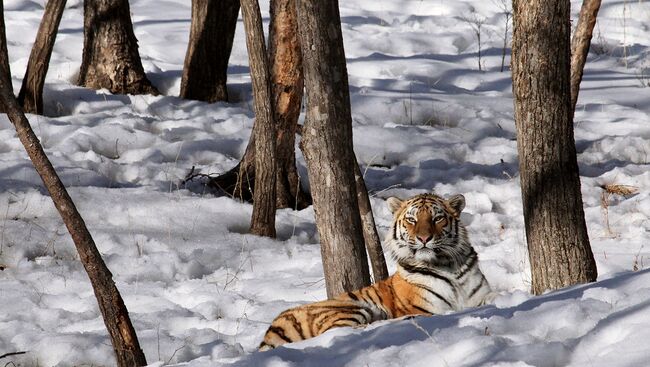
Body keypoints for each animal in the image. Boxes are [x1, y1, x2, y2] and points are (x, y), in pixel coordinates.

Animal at [258, 193, 492, 350]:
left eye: (437, 219)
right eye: (412, 220)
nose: (424, 238)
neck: (447, 265)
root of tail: (273, 326)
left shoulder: (479, 294)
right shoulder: (426, 308)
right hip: (351, 309)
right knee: (345, 331)